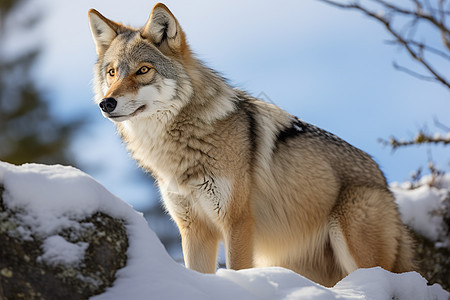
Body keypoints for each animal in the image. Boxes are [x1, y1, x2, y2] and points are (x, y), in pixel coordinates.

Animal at [88, 3, 414, 288]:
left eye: (143, 70)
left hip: (353, 246)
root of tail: (383, 181)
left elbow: (237, 269)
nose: (107, 103)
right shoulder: (194, 230)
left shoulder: (237, 223)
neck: (181, 148)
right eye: (112, 73)